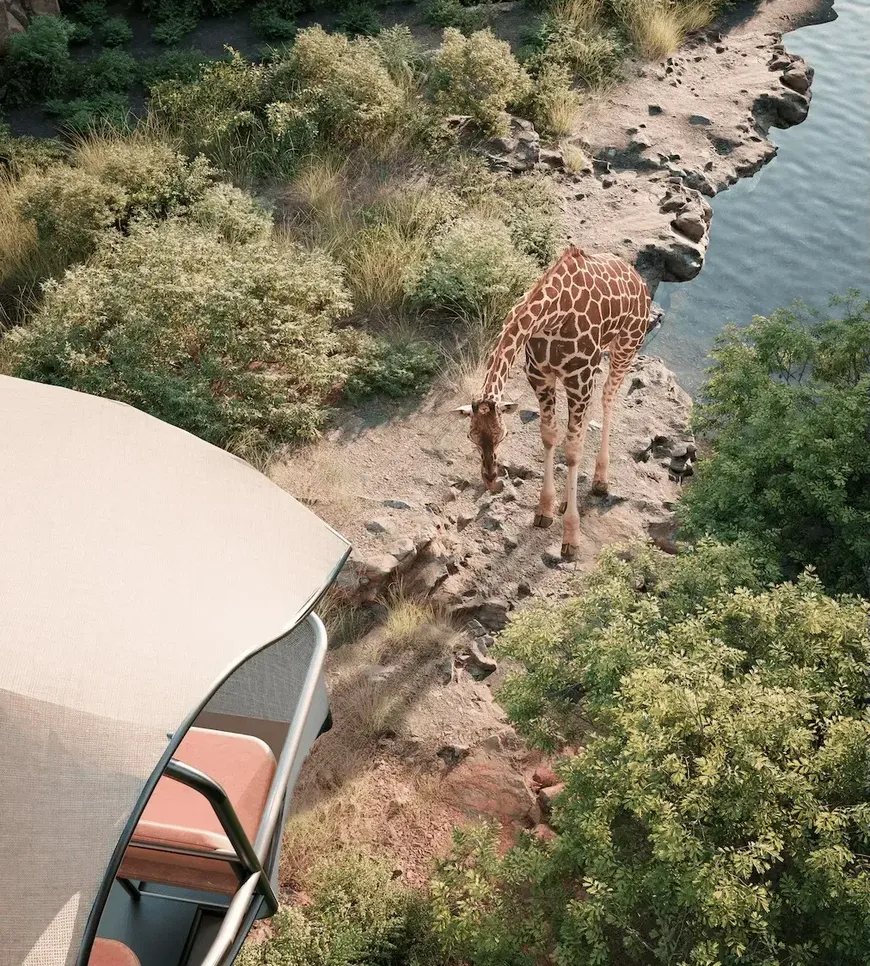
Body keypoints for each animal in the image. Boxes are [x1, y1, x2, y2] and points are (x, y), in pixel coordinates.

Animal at [454, 244, 654, 560]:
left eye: (503, 436)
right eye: (471, 437)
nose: (490, 478)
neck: (552, 318)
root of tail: (637, 277)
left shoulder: (578, 379)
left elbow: (572, 451)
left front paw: (571, 537)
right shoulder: (540, 375)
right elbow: (549, 437)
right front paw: (545, 510)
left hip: (626, 347)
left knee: (608, 399)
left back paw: (601, 480)